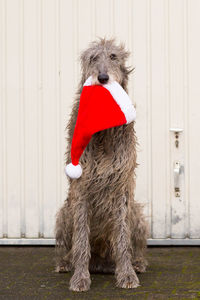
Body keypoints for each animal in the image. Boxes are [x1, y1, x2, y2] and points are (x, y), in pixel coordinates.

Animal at [54, 38, 148, 292]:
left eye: (114, 56)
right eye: (93, 58)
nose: (103, 78)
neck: (103, 130)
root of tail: (102, 262)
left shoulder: (120, 187)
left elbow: (123, 238)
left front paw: (126, 274)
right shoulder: (81, 188)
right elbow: (81, 239)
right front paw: (80, 277)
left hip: (136, 212)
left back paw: (137, 263)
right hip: (64, 212)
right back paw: (66, 262)